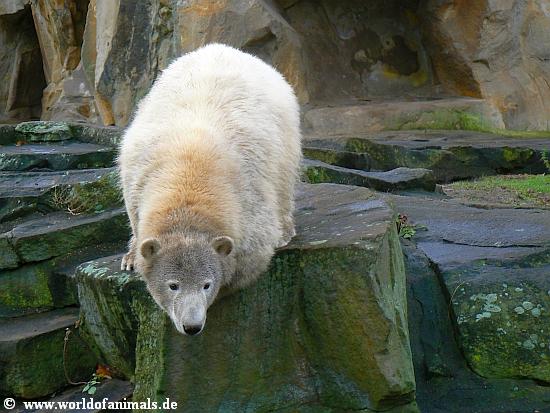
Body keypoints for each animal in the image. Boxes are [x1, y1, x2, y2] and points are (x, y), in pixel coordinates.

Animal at [118, 43, 302, 336]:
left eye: (206, 284)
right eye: (173, 285)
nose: (191, 326)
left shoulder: (249, 203)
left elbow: (247, 260)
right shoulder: (137, 180)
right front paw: (135, 257)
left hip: (285, 140)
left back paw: (285, 232)